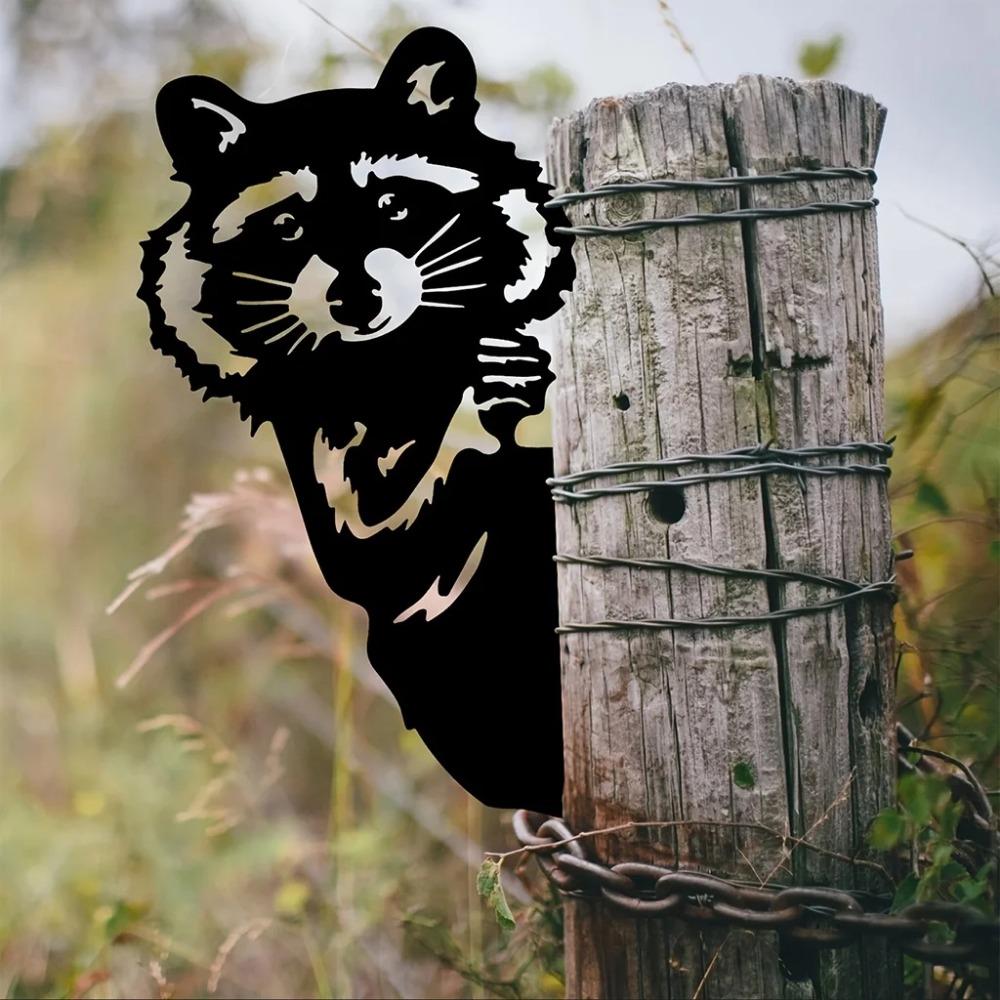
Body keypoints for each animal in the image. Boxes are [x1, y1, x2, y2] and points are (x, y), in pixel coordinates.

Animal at [138, 27, 575, 814]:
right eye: (287, 226)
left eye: (395, 206)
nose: (357, 300)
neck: (391, 357)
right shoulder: (309, 430)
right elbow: (371, 532)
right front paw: (473, 396)